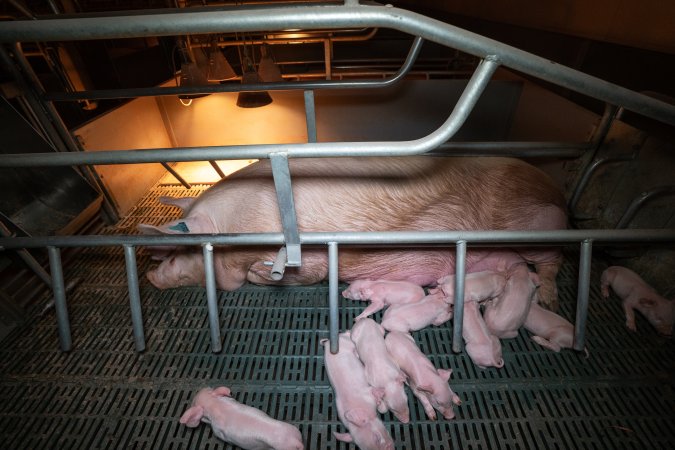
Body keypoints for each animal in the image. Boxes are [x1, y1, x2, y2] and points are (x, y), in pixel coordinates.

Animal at [140, 156, 568, 308]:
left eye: (179, 253)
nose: (150, 276)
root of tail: (556, 189)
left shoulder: (307, 259)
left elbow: (302, 274)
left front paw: (260, 272)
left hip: (535, 225)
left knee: (554, 258)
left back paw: (549, 300)